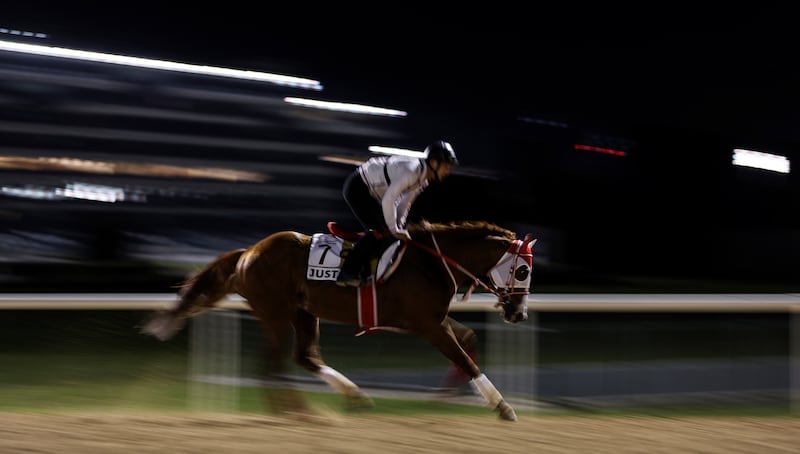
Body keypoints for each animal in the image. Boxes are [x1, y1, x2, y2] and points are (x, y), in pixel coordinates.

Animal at [141, 218, 536, 420]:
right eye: (522, 270)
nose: (519, 313)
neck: (431, 262)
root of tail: (248, 252)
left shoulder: (431, 319)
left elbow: (467, 342)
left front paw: (449, 396)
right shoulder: (426, 324)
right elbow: (466, 359)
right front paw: (503, 406)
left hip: (303, 313)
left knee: (304, 357)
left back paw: (351, 397)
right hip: (275, 313)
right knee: (271, 365)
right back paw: (298, 412)